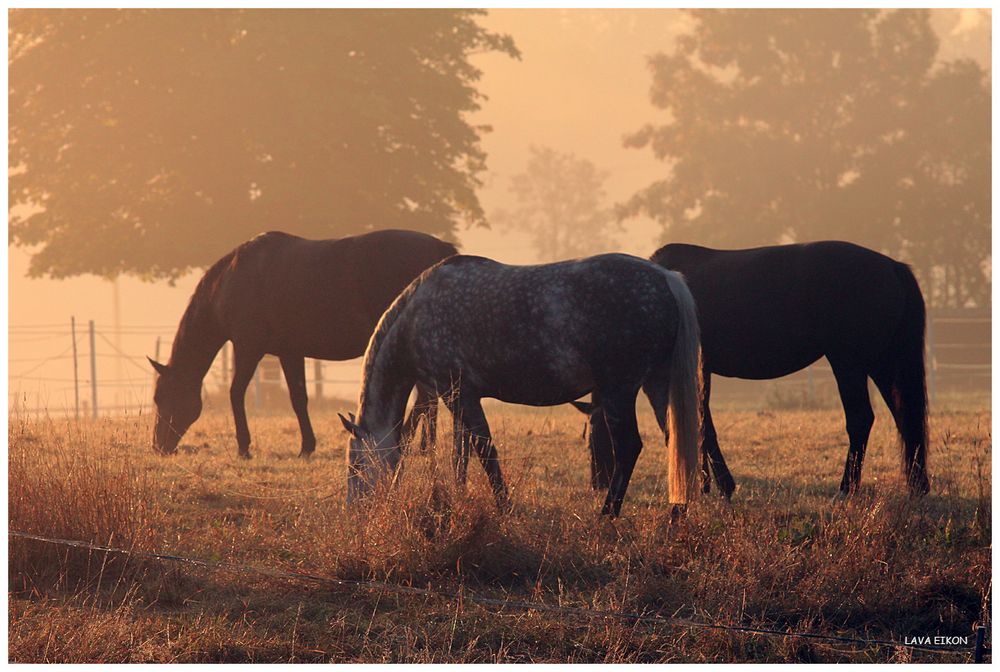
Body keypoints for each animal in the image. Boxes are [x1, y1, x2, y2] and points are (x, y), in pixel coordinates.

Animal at [147, 230, 458, 456]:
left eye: (160, 397)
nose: (158, 447)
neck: (230, 282)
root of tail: (441, 251)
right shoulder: (289, 352)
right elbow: (298, 398)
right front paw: (307, 446)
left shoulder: (248, 348)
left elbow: (236, 392)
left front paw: (244, 446)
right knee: (429, 397)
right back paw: (423, 446)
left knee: (426, 397)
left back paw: (404, 440)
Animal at [340, 252, 700, 516]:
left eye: (355, 464)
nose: (354, 512)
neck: (416, 319)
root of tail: (665, 278)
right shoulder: (455, 396)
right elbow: (461, 454)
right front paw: (460, 497)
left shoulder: (459, 395)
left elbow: (485, 451)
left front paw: (504, 507)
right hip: (656, 385)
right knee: (675, 442)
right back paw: (676, 516)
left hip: (618, 391)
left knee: (629, 447)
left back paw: (607, 516)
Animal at [584, 242, 932, 498]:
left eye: (592, 436)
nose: (597, 482)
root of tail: (892, 266)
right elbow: (700, 421)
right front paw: (708, 483)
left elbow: (699, 422)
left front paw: (717, 484)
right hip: (882, 362)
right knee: (905, 417)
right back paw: (917, 486)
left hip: (849, 363)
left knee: (861, 419)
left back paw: (847, 488)